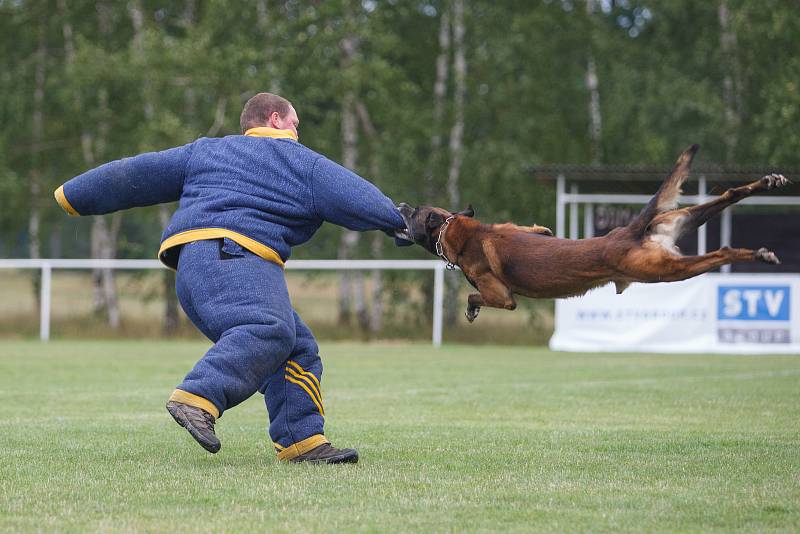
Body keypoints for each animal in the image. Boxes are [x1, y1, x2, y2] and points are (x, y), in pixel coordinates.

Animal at [396, 143, 792, 322]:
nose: (399, 204)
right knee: (728, 194)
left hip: (663, 269)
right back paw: (767, 183)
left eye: (415, 212)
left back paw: (757, 253)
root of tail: (632, 231)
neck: (463, 231)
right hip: (678, 221)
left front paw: (470, 309)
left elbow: (474, 295)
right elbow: (537, 228)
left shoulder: (503, 298)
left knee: (719, 252)